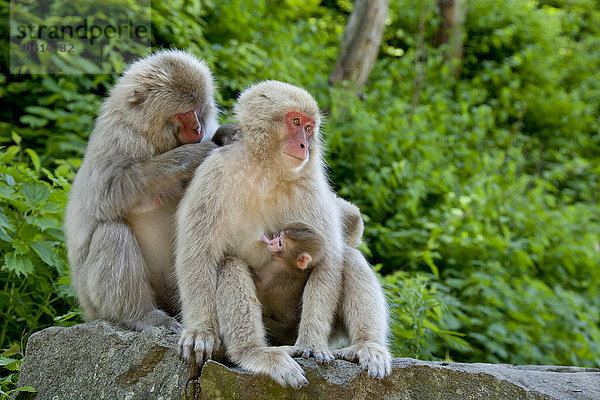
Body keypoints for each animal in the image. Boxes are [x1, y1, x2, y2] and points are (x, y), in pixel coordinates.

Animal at [62, 49, 227, 332]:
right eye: (184, 113)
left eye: (198, 110)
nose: (197, 128)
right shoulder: (119, 137)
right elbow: (109, 191)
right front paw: (193, 155)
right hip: (93, 303)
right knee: (111, 233)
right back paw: (141, 316)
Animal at [176, 79, 392, 386]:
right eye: (296, 122)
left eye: (309, 128)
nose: (304, 144)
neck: (267, 170)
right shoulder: (214, 174)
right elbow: (199, 253)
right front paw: (200, 331)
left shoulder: (310, 185)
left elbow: (328, 261)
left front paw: (312, 344)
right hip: (274, 331)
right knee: (230, 265)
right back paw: (253, 353)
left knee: (349, 258)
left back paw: (366, 345)